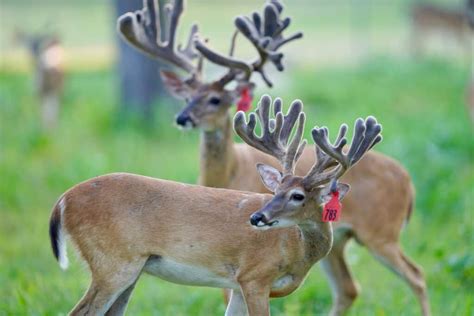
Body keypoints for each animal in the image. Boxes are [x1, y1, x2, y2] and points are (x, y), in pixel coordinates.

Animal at [48, 95, 382, 314]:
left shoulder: (236, 286)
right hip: (112, 262)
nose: (257, 217)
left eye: (297, 195)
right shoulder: (254, 276)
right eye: (276, 190)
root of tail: (63, 201)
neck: (296, 252)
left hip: (129, 270)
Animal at [117, 1, 430, 314]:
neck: (227, 173)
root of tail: (409, 182)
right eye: (186, 97)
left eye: (216, 99)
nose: (183, 118)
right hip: (343, 240)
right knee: (349, 288)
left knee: (417, 275)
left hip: (382, 232)